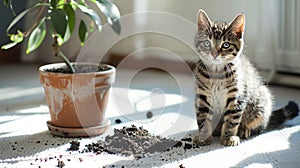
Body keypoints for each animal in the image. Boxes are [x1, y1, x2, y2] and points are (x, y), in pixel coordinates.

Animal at [192, 9, 298, 146]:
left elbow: (232, 120)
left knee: (259, 125)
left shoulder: (237, 97)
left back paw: (244, 129)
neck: (216, 73)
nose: (214, 54)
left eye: (226, 45)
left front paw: (229, 137)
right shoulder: (202, 96)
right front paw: (204, 137)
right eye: (206, 43)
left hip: (262, 99)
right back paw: (216, 129)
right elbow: (203, 118)